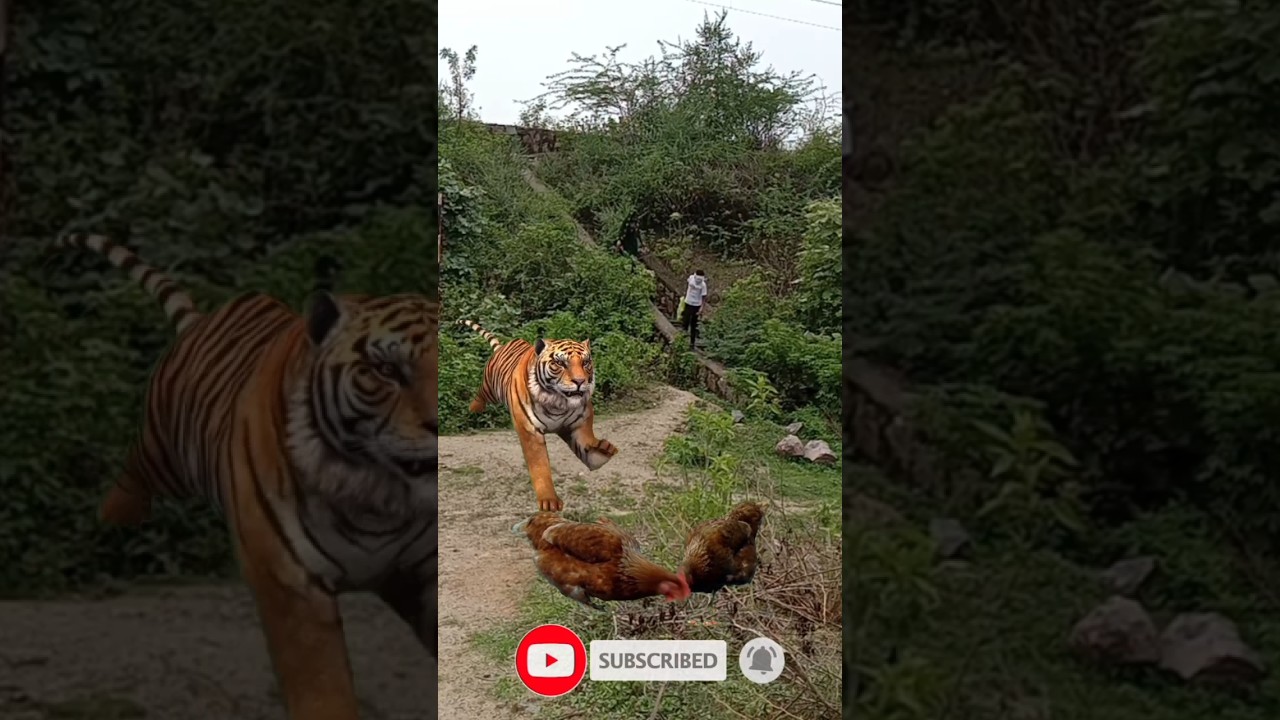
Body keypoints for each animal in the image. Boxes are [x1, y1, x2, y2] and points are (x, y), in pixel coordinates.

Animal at [57, 235, 438, 720]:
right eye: (386, 370)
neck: (377, 499)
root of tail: (204, 320)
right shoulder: (291, 584)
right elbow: (322, 690)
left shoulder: (423, 571)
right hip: (163, 452)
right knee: (133, 474)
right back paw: (109, 525)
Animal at [457, 318, 617, 511]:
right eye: (560, 363)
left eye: (586, 362)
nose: (580, 381)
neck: (558, 403)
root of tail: (505, 345)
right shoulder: (530, 431)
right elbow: (540, 466)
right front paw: (549, 501)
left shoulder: (580, 421)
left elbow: (586, 441)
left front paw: (602, 452)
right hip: (490, 387)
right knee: (480, 394)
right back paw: (473, 409)